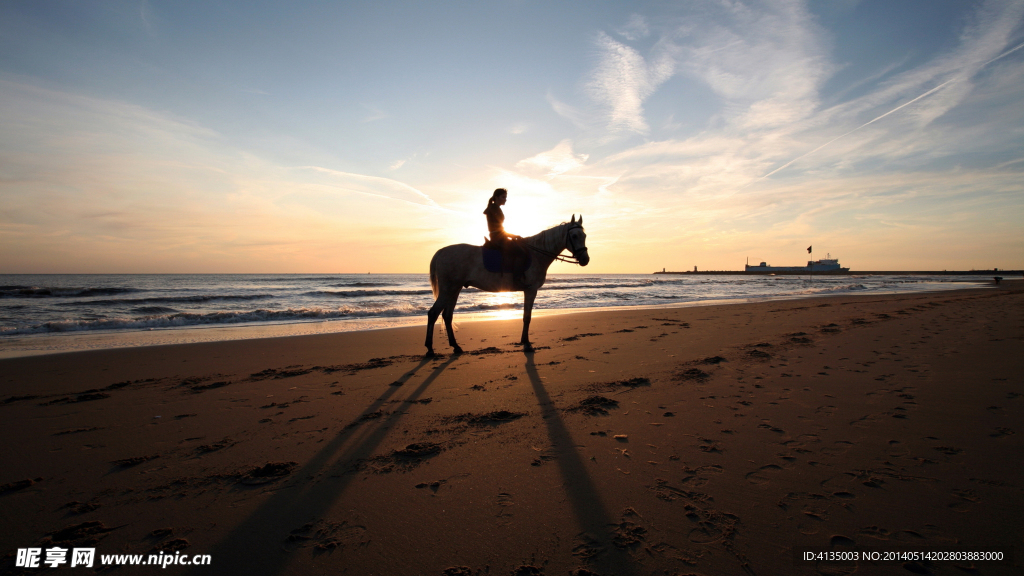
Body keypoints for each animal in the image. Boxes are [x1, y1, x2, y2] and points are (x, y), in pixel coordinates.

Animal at [425, 215, 590, 356]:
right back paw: (430, 349)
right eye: (574, 236)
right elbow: (527, 317)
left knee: (447, 316)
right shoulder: (531, 290)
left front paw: (524, 341)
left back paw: (456, 346)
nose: (585, 260)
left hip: (455, 289)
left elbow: (526, 316)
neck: (536, 254)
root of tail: (441, 251)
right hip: (448, 289)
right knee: (433, 313)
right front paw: (527, 344)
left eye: (584, 236)